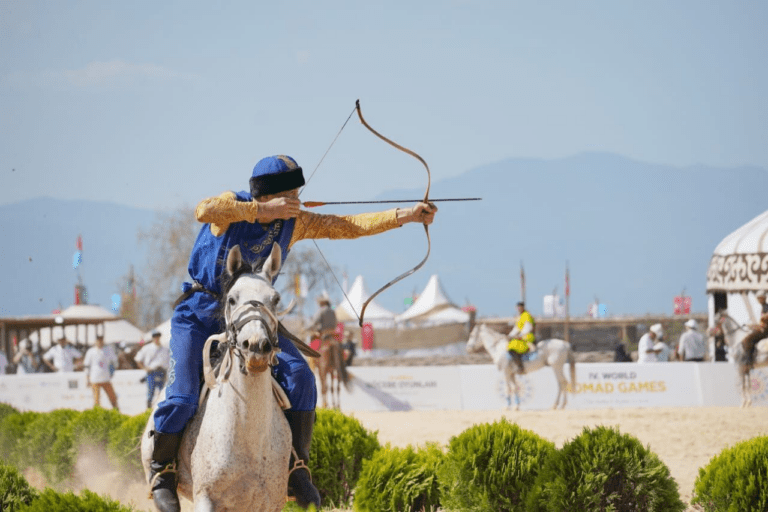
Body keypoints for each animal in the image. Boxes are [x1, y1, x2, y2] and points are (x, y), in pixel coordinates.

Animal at [141, 245, 294, 512]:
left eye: (275, 299)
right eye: (232, 299)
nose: (256, 346)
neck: (249, 438)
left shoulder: (272, 503)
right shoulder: (206, 498)